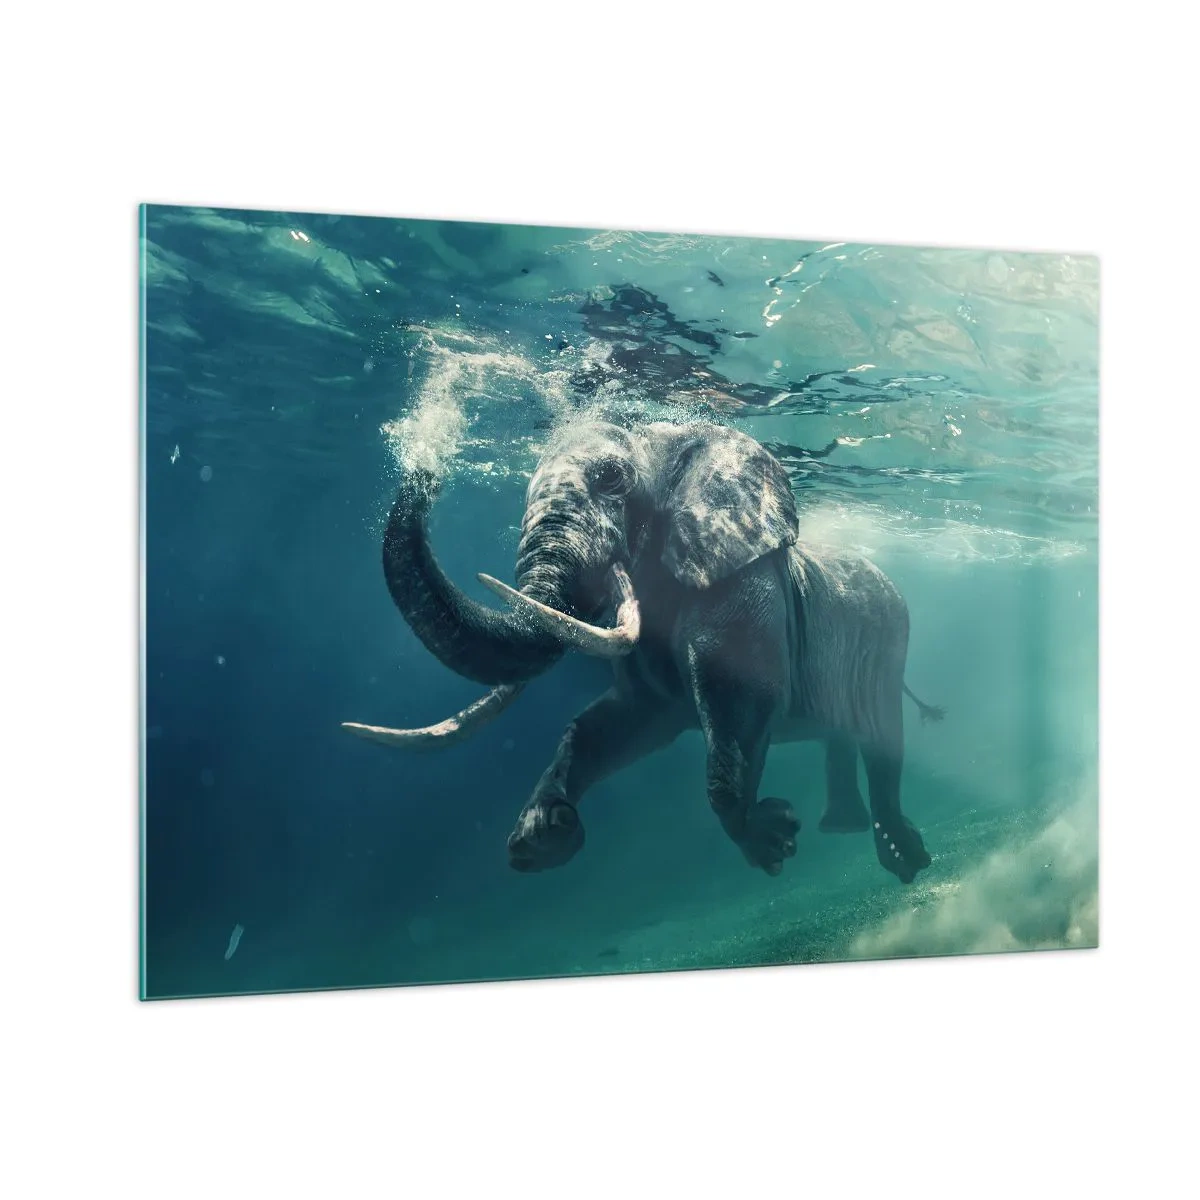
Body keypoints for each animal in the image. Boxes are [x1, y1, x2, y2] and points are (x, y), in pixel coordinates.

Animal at [343, 418, 943, 884]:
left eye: (611, 479)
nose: (424, 468)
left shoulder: (741, 581)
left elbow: (742, 698)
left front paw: (772, 841)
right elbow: (616, 723)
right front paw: (543, 837)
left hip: (891, 640)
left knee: (883, 742)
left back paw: (905, 860)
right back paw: (843, 828)